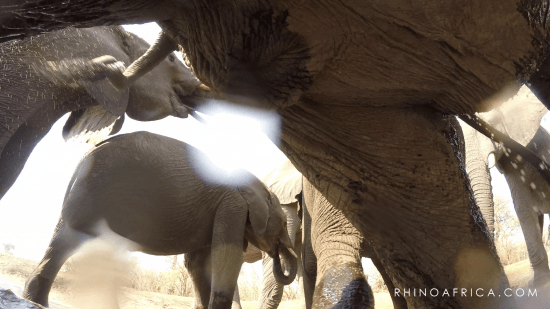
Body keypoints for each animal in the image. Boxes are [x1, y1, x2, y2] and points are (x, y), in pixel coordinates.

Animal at [22, 131, 298, 306]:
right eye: (283, 223)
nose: (278, 251)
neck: (260, 184)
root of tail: (85, 156)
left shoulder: (217, 210)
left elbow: (197, 263)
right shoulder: (233, 207)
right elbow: (227, 256)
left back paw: (36, 300)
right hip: (96, 191)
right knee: (70, 239)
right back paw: (37, 301)